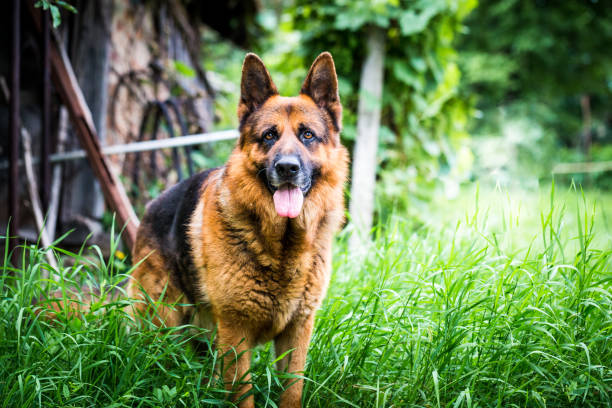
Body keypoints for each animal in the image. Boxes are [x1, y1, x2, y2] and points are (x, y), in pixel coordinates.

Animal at [128, 52, 350, 406]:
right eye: (269, 136)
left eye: (308, 136)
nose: (287, 168)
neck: (282, 245)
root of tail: (151, 205)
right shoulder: (235, 331)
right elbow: (242, 393)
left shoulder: (297, 330)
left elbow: (292, 390)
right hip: (163, 321)